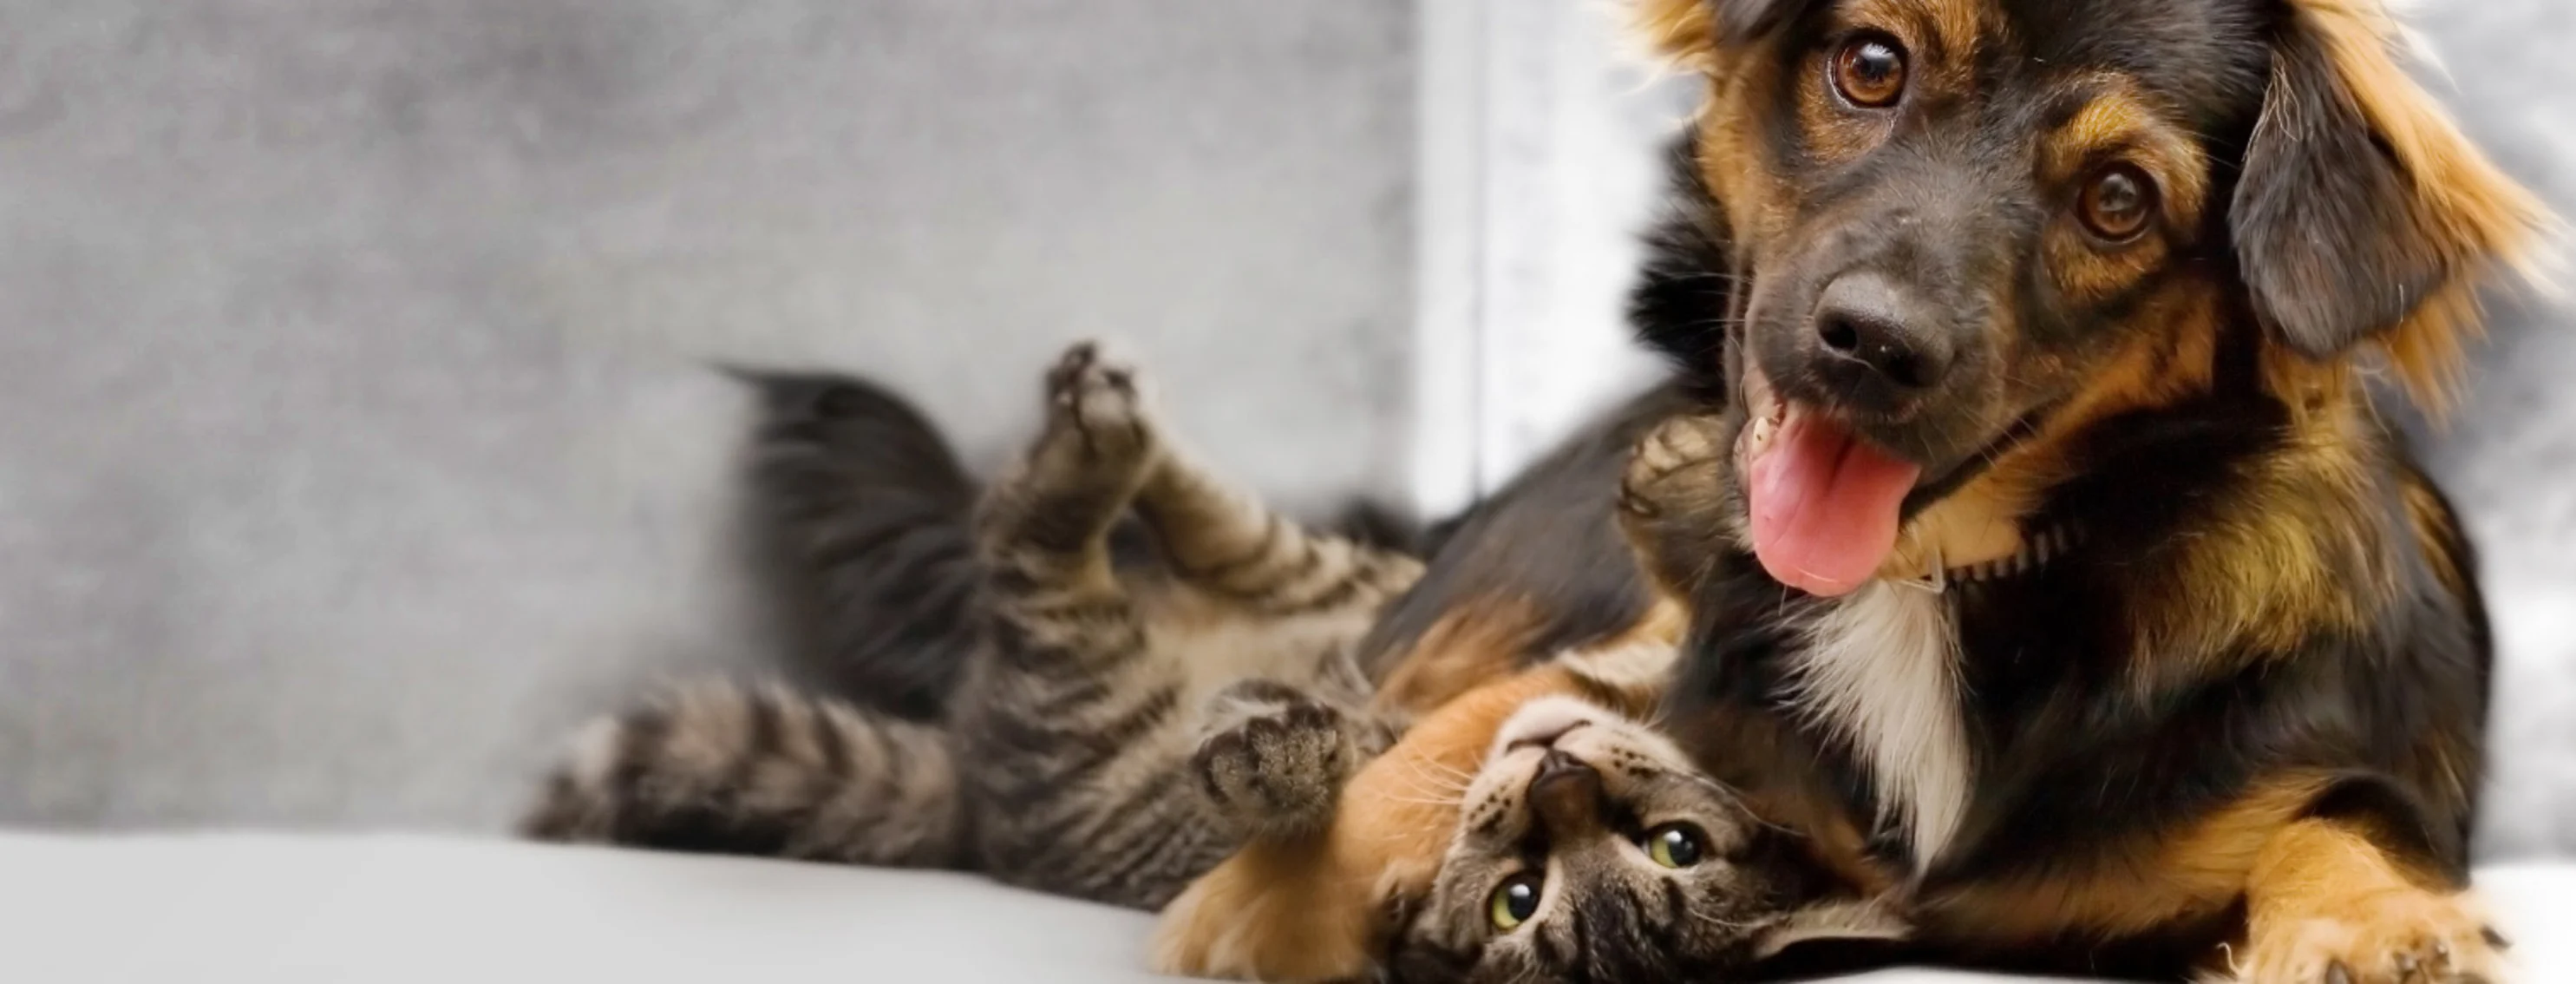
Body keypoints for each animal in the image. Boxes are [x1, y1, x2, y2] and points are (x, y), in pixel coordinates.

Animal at [522, 342, 1906, 979]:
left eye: (1671, 849)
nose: (1563, 776)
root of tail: (969, 775)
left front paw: (1273, 768)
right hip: (1342, 582)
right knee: (1231, 532)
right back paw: (1116, 421)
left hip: (1082, 693)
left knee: (1033, 548)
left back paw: (1091, 454)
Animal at [1350, 2, 2555, 979]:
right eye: (1873, 65)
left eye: (2118, 198)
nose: (1874, 346)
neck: (1922, 580)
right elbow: (1443, 753)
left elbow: (2347, 820)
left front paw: (2379, 929)